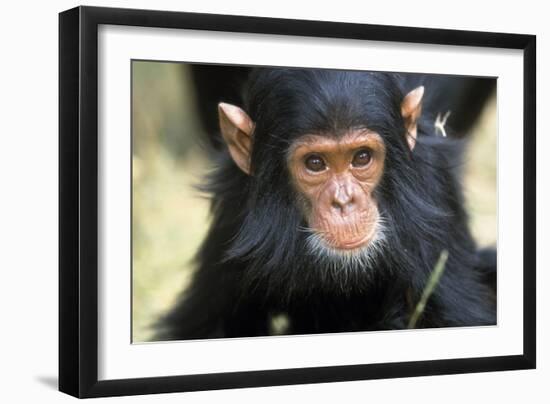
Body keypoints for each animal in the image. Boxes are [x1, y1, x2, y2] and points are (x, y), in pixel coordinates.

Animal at [156, 68, 500, 340]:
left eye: (362, 157)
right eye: (315, 163)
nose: (343, 202)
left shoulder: (431, 189)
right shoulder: (234, 207)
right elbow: (206, 324)